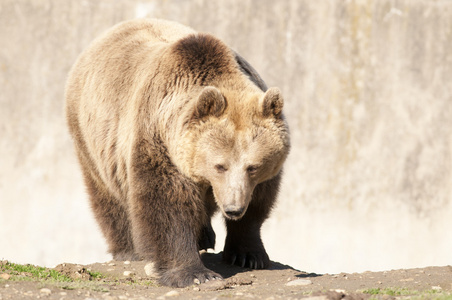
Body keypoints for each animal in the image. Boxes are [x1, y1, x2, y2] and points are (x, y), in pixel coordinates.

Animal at [64, 18, 290, 286]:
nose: (233, 208)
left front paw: (248, 255)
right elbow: (167, 205)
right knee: (108, 196)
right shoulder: (158, 139)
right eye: (220, 165)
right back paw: (128, 249)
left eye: (252, 167)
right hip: (94, 137)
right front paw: (196, 274)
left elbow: (258, 202)